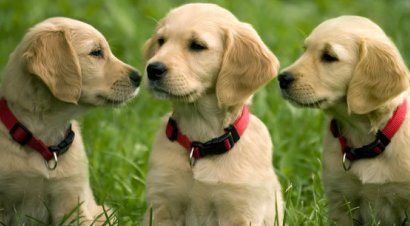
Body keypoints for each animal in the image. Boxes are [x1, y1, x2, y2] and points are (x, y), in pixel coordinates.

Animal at [143, 3, 284, 226]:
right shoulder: (162, 204)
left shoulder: (240, 210)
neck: (200, 143)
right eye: (161, 41)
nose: (152, 69)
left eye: (197, 46)